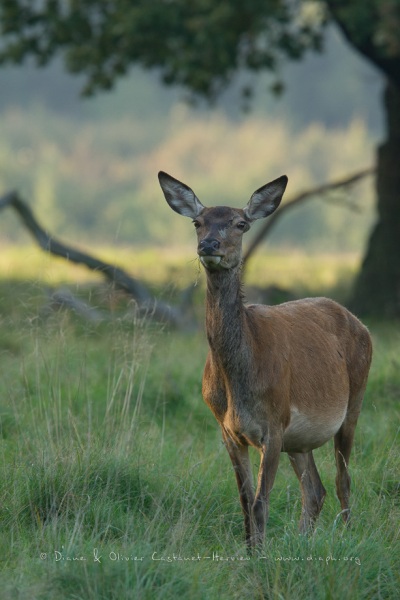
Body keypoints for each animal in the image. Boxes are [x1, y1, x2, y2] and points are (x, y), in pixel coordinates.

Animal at [157, 171, 372, 552]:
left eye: (240, 223)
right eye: (198, 222)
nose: (209, 245)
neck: (238, 384)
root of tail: (360, 323)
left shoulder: (273, 423)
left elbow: (260, 502)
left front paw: (260, 556)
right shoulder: (228, 429)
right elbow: (244, 500)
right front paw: (250, 551)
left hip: (354, 400)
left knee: (343, 480)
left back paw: (347, 537)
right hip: (299, 438)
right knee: (314, 490)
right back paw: (302, 542)